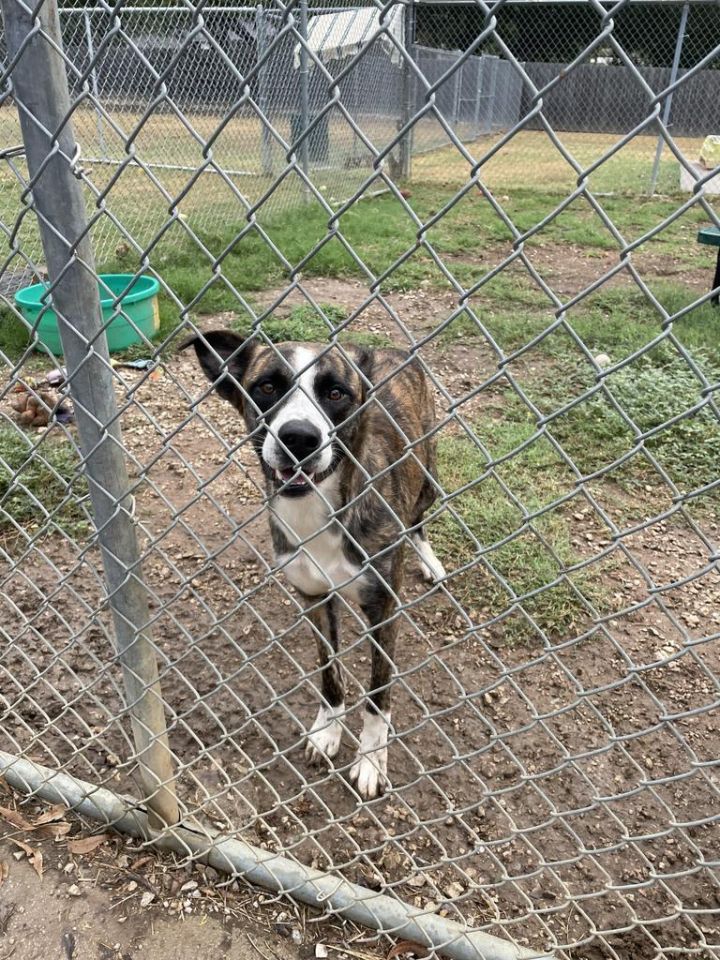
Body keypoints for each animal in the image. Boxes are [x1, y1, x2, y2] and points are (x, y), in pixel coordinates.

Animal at [183, 334, 444, 800]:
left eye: (336, 393)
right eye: (267, 387)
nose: (299, 437)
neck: (316, 509)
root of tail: (392, 350)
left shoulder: (383, 608)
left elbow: (378, 694)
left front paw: (371, 759)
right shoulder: (313, 598)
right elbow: (329, 675)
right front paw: (327, 731)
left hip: (427, 475)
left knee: (418, 518)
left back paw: (430, 559)